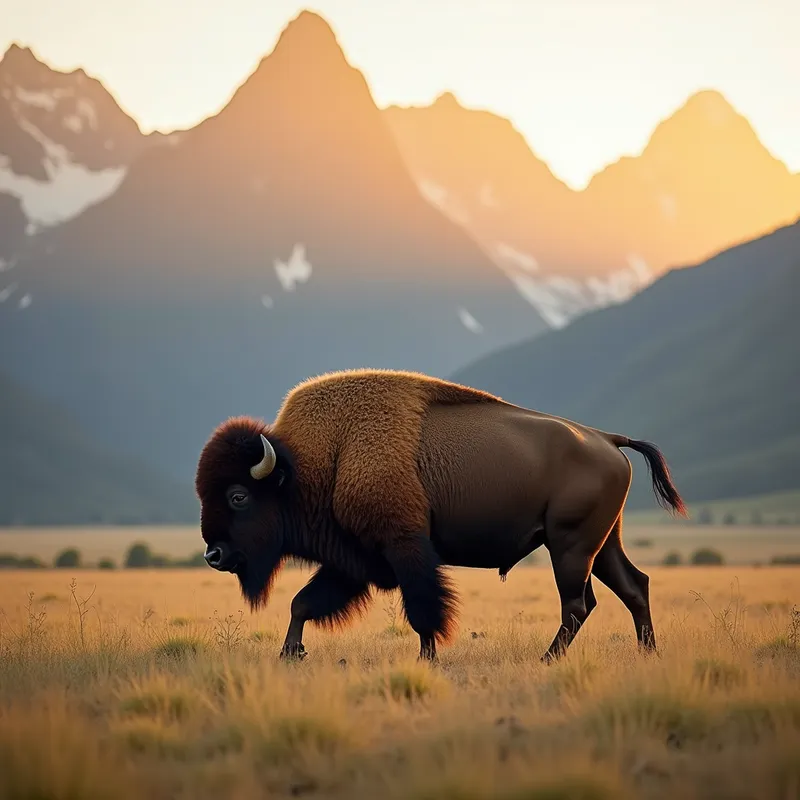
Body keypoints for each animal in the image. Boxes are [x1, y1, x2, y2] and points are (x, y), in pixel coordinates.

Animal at [195, 368, 687, 662]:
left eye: (238, 496)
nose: (213, 555)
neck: (319, 460)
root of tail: (607, 438)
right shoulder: (352, 560)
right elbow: (303, 602)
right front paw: (290, 653)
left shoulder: (404, 547)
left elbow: (423, 609)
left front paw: (426, 659)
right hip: (601, 544)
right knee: (633, 587)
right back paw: (648, 654)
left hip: (570, 547)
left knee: (578, 604)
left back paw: (548, 659)